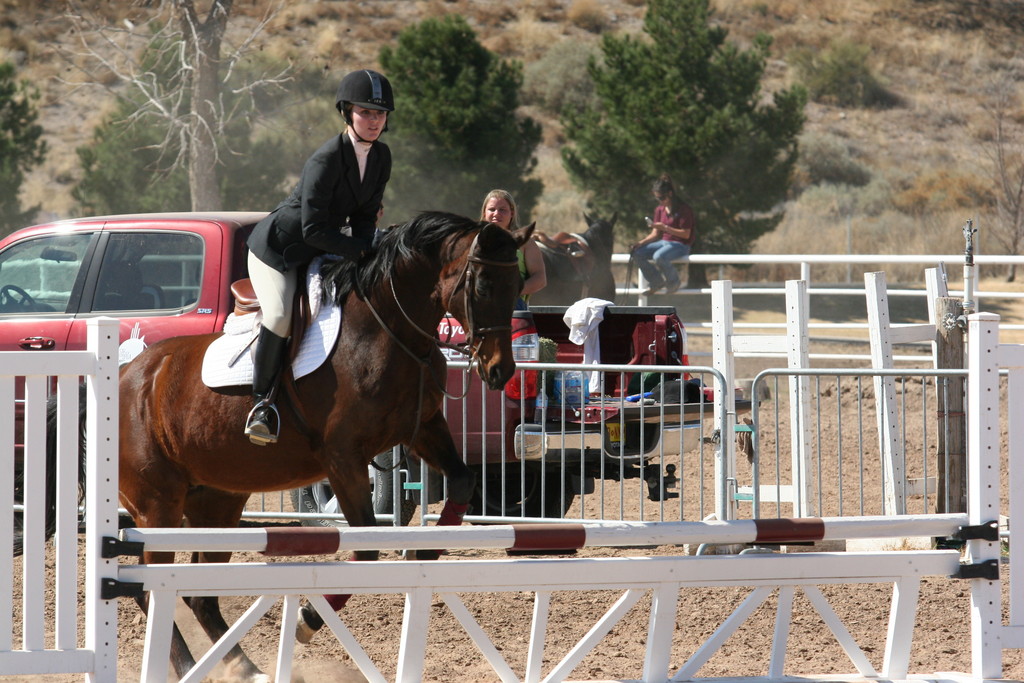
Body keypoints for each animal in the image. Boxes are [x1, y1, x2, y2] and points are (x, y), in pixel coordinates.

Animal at [118, 210, 532, 679]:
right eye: (482, 286)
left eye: (518, 286)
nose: (499, 370)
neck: (388, 330)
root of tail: (130, 374)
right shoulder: (343, 458)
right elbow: (367, 549)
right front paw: (307, 620)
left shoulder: (424, 428)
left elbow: (462, 482)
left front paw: (426, 553)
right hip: (158, 506)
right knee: (153, 590)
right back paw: (190, 666)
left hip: (216, 503)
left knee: (198, 596)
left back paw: (244, 667)